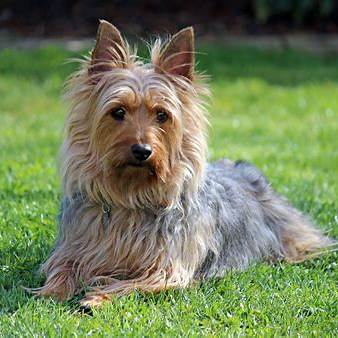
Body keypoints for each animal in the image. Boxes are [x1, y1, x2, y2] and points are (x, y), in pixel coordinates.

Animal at [35, 19, 332, 308]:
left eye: (162, 115)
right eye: (117, 112)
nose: (142, 150)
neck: (131, 196)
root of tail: (239, 167)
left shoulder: (167, 267)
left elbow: (132, 284)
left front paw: (97, 297)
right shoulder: (73, 249)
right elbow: (62, 269)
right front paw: (50, 292)